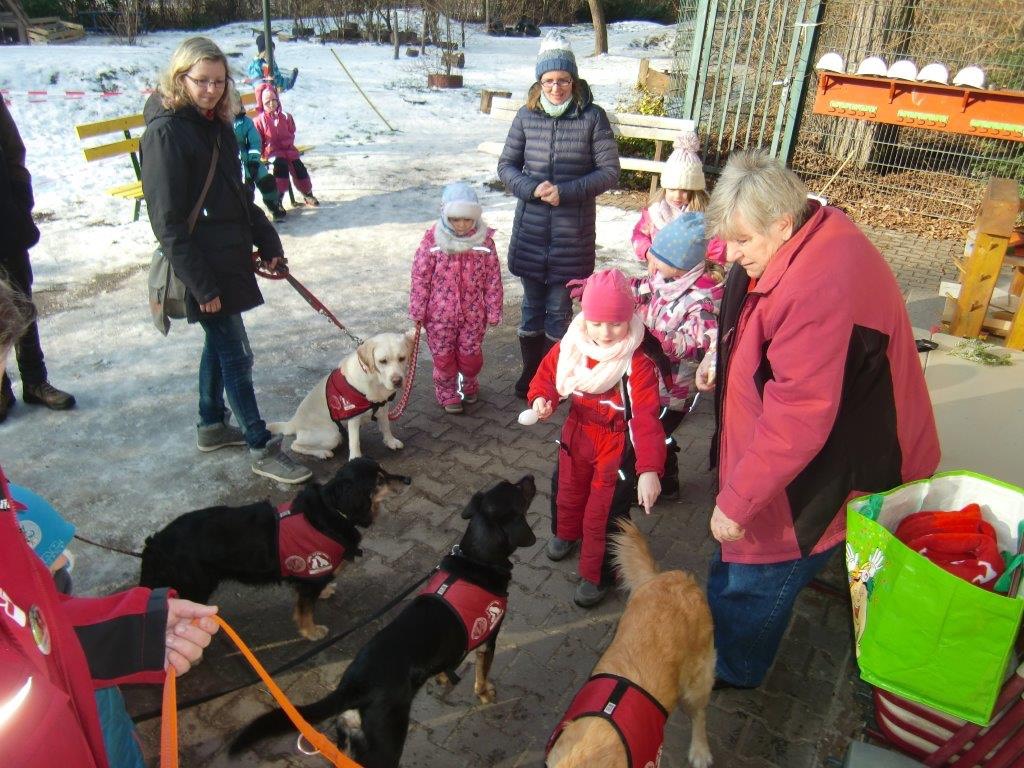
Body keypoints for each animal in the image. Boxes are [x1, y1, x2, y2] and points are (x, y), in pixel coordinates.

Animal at [139, 460, 407, 638]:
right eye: (379, 480)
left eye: (384, 471)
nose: (407, 480)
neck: (331, 510)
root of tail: (156, 543)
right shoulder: (309, 576)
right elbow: (305, 610)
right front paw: (311, 631)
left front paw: (324, 592)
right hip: (194, 587)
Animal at [230, 475, 536, 768]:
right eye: (519, 491)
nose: (531, 477)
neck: (476, 559)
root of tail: (353, 688)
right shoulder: (488, 640)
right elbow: (482, 675)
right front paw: (485, 694)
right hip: (386, 745)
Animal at [272, 331, 419, 462]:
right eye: (383, 361)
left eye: (402, 358)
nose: (397, 381)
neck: (375, 380)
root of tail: (293, 422)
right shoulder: (353, 416)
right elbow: (354, 441)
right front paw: (355, 458)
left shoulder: (383, 406)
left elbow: (386, 427)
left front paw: (390, 441)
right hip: (332, 435)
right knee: (295, 445)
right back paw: (322, 453)